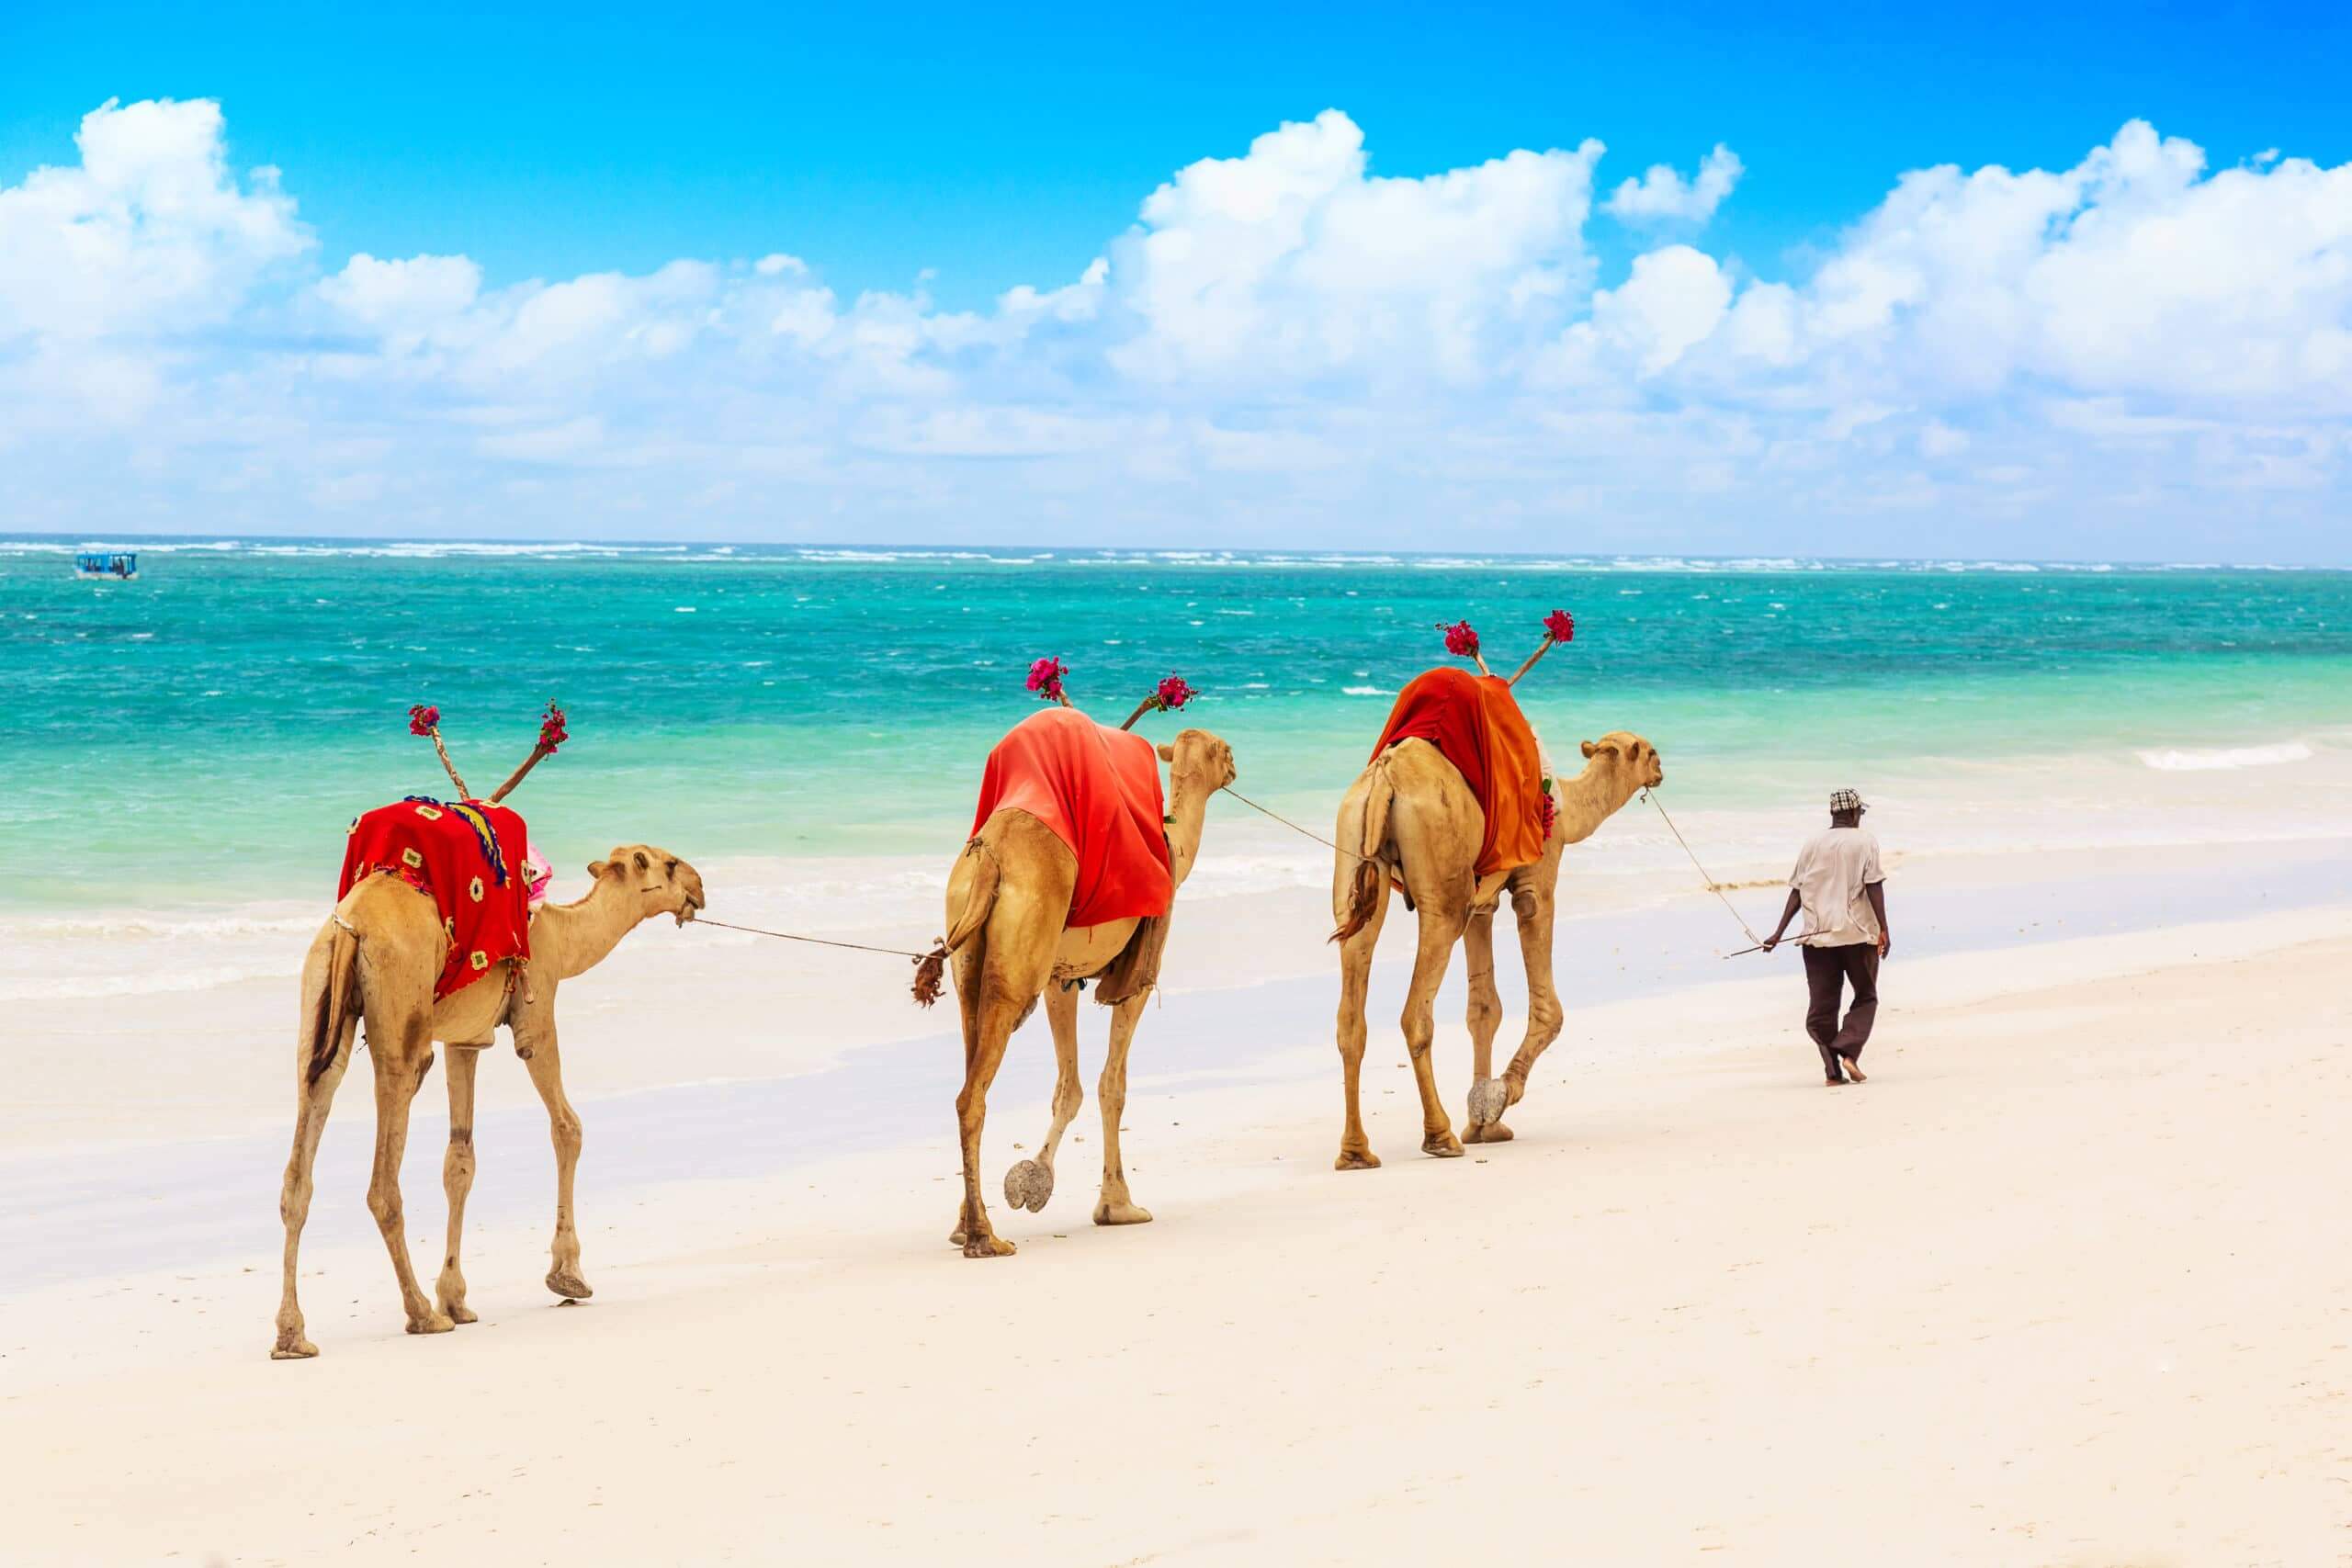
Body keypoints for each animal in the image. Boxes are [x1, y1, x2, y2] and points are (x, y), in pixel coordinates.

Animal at [271, 846, 700, 1363]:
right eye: (669, 863)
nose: (699, 888)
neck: (561, 934)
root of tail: (351, 925)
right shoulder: (536, 1011)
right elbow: (567, 1126)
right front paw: (568, 1277)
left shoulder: (466, 1041)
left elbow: (460, 1161)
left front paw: (456, 1298)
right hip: (399, 1017)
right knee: (383, 1182)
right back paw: (420, 1314)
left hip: (319, 1003)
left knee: (300, 1164)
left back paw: (292, 1336)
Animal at [912, 667, 1232, 1259]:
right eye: (1222, 749)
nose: (1237, 761)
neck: (1172, 848)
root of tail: (991, 856)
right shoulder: (1134, 978)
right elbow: (1111, 1085)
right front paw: (1117, 1206)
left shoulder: (1061, 981)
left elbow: (1071, 1086)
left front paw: (1031, 1184)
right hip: (1018, 966)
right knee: (973, 1095)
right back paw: (986, 1238)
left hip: (973, 959)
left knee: (971, 1070)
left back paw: (967, 1225)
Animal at [1336, 620, 1665, 1170]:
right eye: (1648, 748)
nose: (1662, 771)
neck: (1567, 802)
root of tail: (1385, 777)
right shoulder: (1536, 877)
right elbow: (1548, 1008)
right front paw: (1497, 1098)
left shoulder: (1482, 903)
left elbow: (1483, 1009)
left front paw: (1483, 1123)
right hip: (1441, 888)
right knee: (1415, 1012)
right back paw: (1439, 1136)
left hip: (1355, 855)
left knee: (1351, 1012)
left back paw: (1357, 1152)